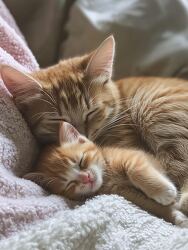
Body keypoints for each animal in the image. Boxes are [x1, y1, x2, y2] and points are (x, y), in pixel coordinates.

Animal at [25, 122, 188, 228]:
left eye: (81, 162)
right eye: (70, 183)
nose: (86, 178)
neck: (107, 177)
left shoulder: (136, 156)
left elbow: (134, 169)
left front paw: (164, 192)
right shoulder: (127, 194)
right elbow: (150, 205)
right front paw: (175, 216)